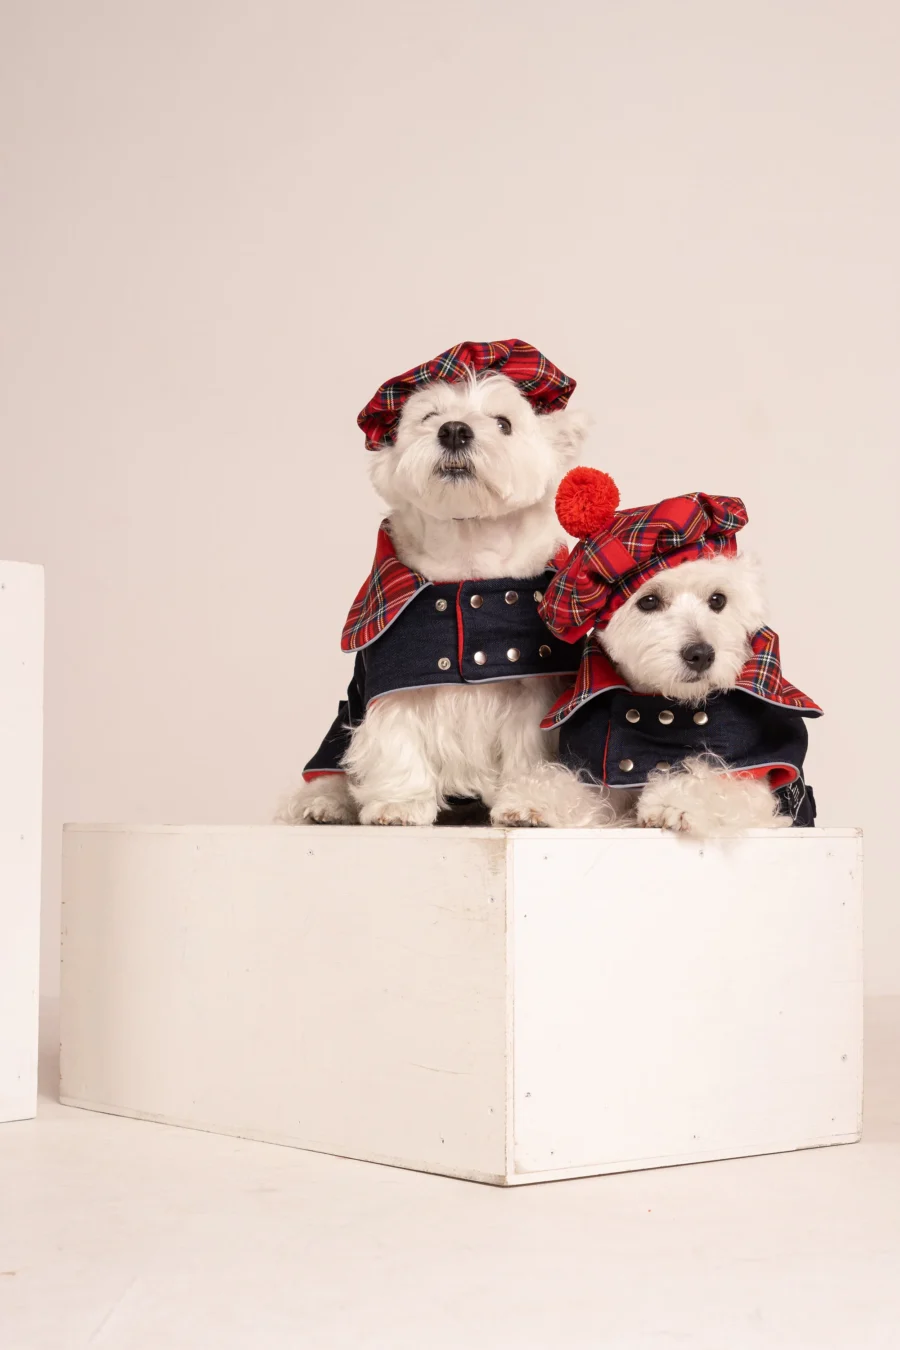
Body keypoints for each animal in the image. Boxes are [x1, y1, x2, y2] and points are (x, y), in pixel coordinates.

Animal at [277, 340, 593, 820]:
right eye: (429, 416)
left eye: (504, 423)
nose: (455, 431)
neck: (467, 557)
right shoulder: (393, 680)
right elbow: (396, 739)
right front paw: (398, 804)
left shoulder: (534, 691)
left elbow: (527, 749)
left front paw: (525, 799)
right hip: (340, 722)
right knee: (329, 766)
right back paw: (323, 802)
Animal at [534, 467, 825, 831]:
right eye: (649, 601)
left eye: (718, 599)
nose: (701, 654)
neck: (662, 706)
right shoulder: (604, 774)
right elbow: (583, 788)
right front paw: (534, 800)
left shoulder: (762, 784)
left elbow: (717, 779)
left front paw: (675, 800)